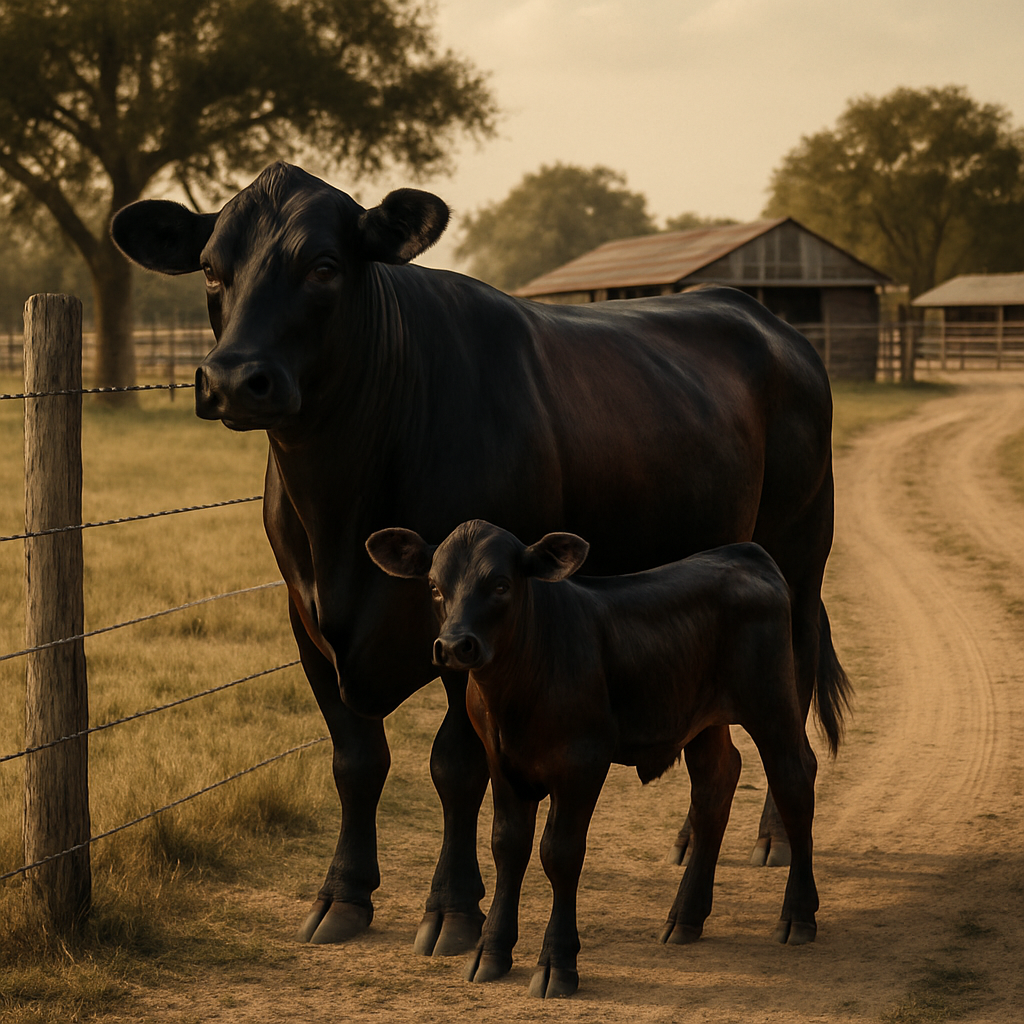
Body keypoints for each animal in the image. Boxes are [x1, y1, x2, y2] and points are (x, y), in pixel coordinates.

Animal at [366, 520, 819, 998]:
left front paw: (557, 964)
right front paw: (490, 951)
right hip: (702, 718)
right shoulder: (501, 763)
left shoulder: (583, 762)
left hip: (772, 703)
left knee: (794, 780)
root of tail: (745, 553)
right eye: (434, 586)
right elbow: (507, 846)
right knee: (715, 786)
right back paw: (685, 917)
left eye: (501, 584)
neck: (516, 692)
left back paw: (798, 915)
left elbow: (560, 853)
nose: (455, 646)